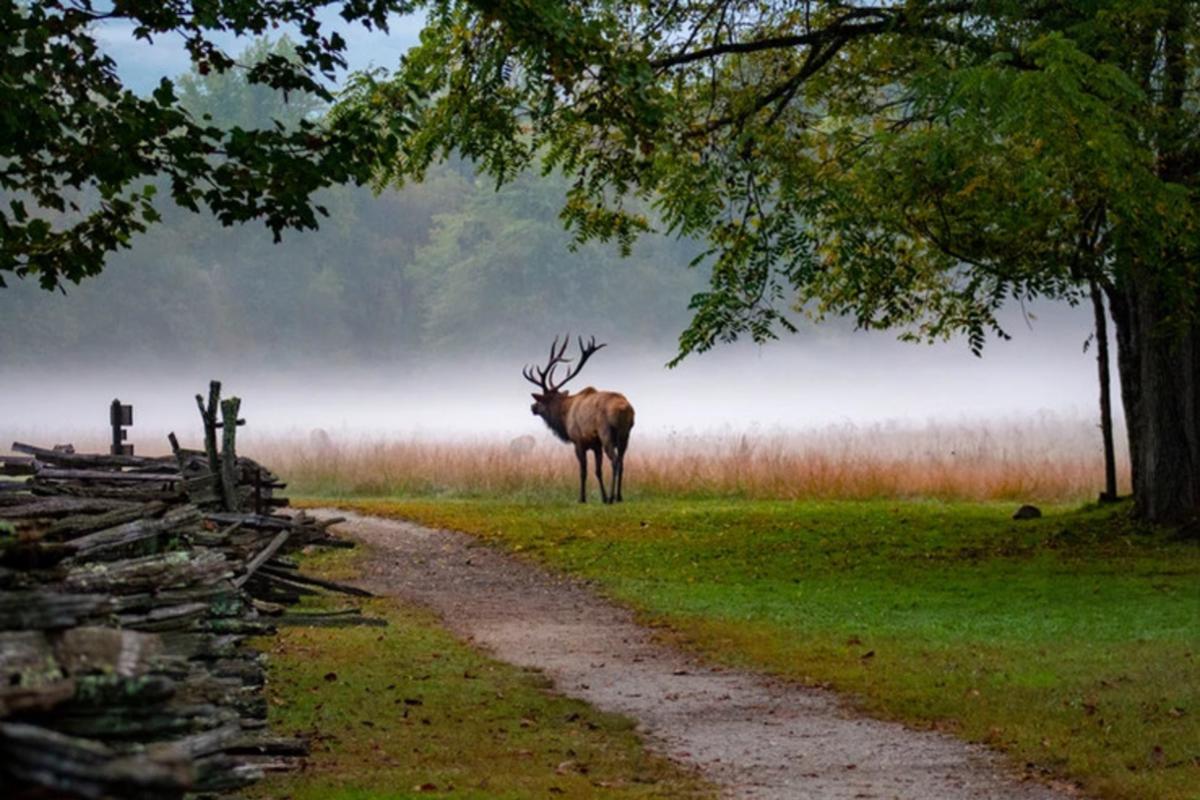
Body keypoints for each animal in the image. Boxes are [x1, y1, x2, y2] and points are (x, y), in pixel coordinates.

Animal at [524, 335, 635, 504]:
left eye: (541, 400)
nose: (532, 407)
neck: (564, 417)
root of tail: (625, 409)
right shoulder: (596, 445)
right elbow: (598, 471)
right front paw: (602, 497)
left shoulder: (578, 441)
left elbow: (583, 471)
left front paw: (582, 498)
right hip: (625, 435)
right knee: (622, 462)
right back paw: (619, 496)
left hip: (606, 433)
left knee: (615, 461)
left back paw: (611, 497)